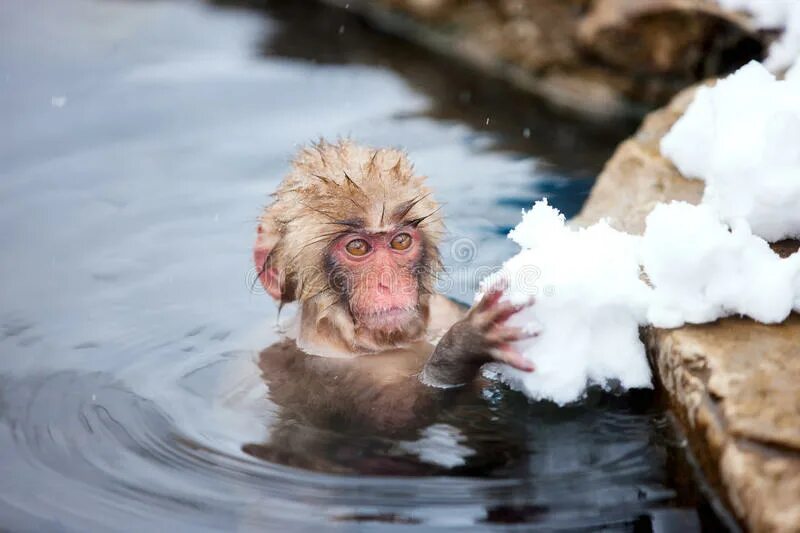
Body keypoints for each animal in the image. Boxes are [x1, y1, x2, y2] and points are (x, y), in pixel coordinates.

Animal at [253, 138, 536, 440]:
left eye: (400, 241)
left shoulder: (442, 309)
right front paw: (463, 346)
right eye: (357, 247)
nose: (388, 281)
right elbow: (395, 419)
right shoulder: (327, 365)